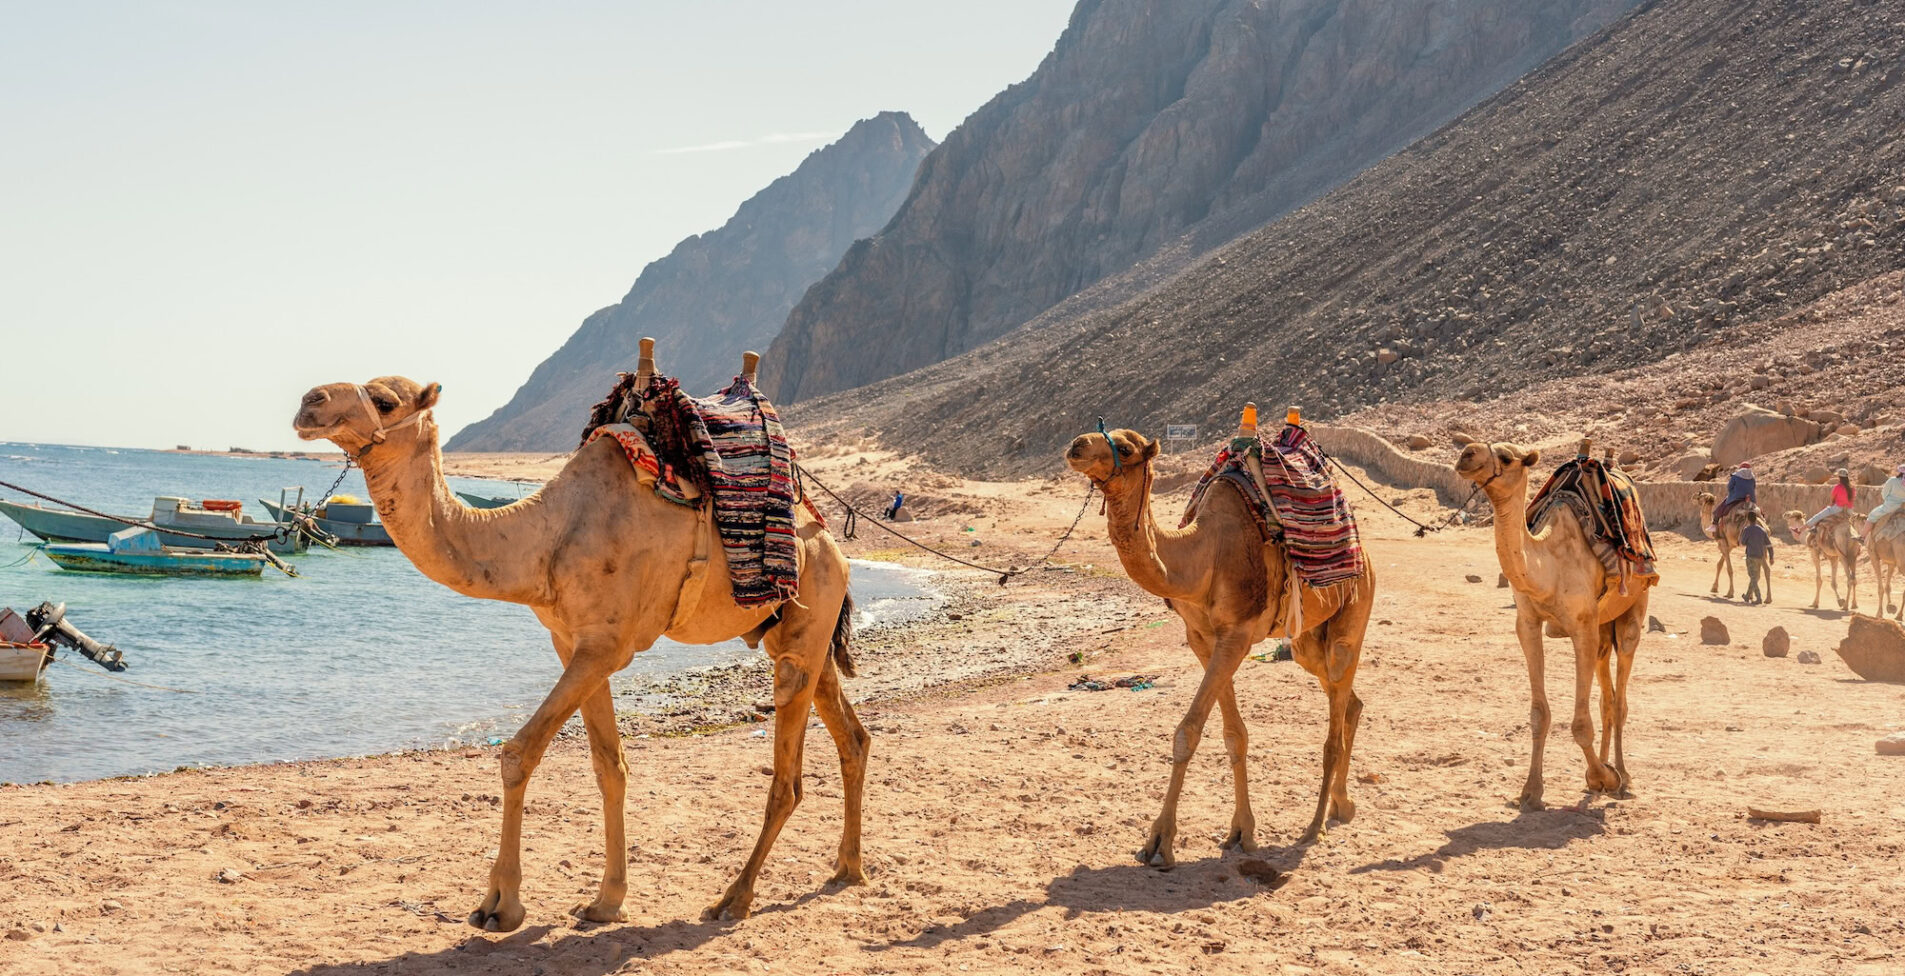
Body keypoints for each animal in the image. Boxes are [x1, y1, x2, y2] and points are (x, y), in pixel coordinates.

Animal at [292, 357, 868, 931]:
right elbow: (609, 767)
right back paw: (848, 867)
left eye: (385, 400)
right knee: (852, 735)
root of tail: (833, 546)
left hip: (808, 613)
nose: (308, 402)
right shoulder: (571, 642)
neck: (546, 538)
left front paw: (500, 904)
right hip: (796, 631)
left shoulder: (607, 646)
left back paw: (735, 898)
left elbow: (519, 753)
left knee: (788, 770)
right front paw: (606, 901)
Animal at [1064, 428, 1374, 865]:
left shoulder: (1237, 635)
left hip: (1352, 617)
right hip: (1305, 642)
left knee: (1335, 723)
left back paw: (1315, 826)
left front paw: (1160, 841)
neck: (1200, 556)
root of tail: (1366, 557)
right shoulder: (1203, 639)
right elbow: (1233, 735)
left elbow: (1189, 731)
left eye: (1124, 448)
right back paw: (1341, 806)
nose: (1076, 445)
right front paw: (1242, 832)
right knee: (1349, 700)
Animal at [1455, 443, 1651, 809]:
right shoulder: (1528, 624)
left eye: (1506, 457)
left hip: (1633, 610)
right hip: (1603, 629)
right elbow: (1539, 715)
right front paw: (1531, 791)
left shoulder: (1582, 627)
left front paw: (1603, 777)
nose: (1466, 454)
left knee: (1620, 699)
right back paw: (1605, 769)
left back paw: (1623, 776)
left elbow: (1580, 724)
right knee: (1607, 698)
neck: (1548, 565)